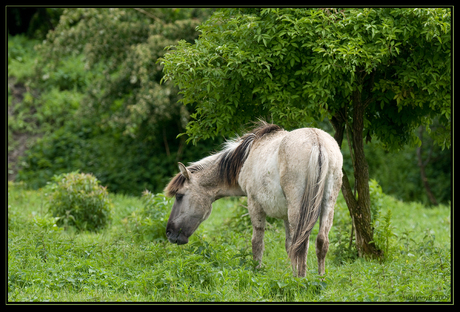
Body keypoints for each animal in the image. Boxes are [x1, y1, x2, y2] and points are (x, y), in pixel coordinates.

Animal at [164, 120, 342, 276]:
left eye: (179, 196)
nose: (169, 233)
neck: (246, 157)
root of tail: (318, 142)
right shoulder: (285, 215)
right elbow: (289, 244)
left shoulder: (254, 205)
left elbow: (257, 243)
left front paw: (257, 271)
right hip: (327, 204)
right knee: (321, 241)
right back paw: (320, 278)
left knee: (303, 244)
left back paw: (301, 280)